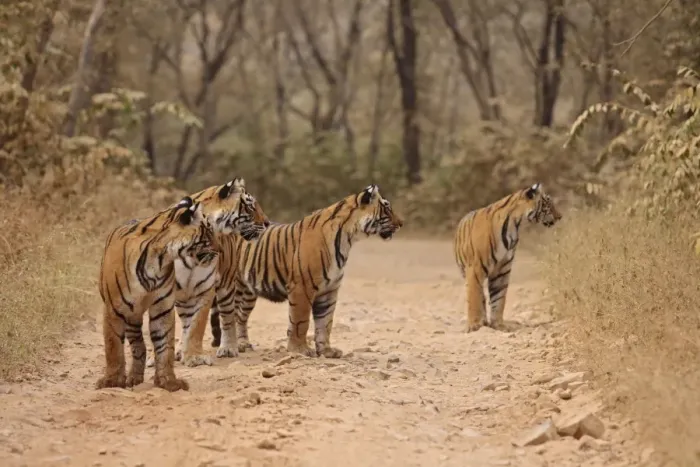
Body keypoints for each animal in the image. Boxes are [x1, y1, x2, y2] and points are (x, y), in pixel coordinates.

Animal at [96, 197, 216, 392]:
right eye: (210, 234)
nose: (219, 251)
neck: (159, 256)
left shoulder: (162, 307)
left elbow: (164, 344)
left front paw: (168, 382)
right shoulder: (114, 308)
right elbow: (113, 346)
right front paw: (112, 381)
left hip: (134, 315)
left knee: (139, 345)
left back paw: (135, 377)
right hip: (130, 313)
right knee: (137, 344)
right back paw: (133, 378)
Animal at [144, 178, 270, 368]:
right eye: (250, 207)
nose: (267, 223)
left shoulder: (204, 287)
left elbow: (197, 325)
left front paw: (195, 357)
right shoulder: (160, 289)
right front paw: (156, 357)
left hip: (226, 287)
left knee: (227, 318)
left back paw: (228, 348)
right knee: (185, 322)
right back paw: (180, 351)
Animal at [204, 184, 404, 359]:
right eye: (387, 208)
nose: (402, 223)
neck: (348, 238)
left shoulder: (329, 290)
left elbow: (325, 323)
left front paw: (327, 351)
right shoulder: (302, 287)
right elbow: (301, 321)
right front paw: (300, 349)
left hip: (247, 292)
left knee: (240, 316)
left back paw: (243, 344)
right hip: (233, 285)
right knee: (229, 315)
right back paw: (234, 346)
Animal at [453, 183, 562, 333]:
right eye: (548, 204)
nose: (560, 217)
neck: (515, 225)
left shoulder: (502, 269)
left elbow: (499, 298)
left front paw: (498, 325)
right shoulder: (475, 268)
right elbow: (474, 297)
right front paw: (474, 325)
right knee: (478, 294)